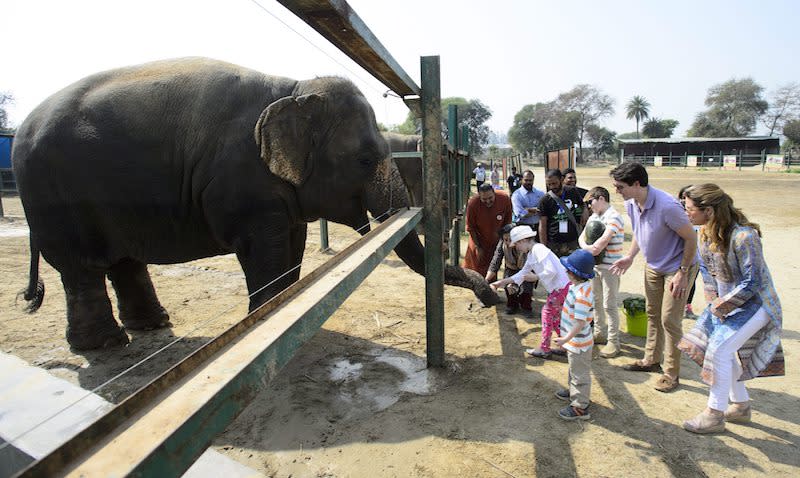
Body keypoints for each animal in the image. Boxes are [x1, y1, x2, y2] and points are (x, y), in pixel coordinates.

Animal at [12, 57, 496, 352]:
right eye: (362, 159)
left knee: (125, 261)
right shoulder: (243, 186)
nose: (490, 298)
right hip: (54, 198)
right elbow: (266, 250)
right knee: (81, 269)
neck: (295, 89)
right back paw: (106, 345)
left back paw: (149, 326)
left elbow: (293, 247)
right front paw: (263, 323)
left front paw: (288, 315)